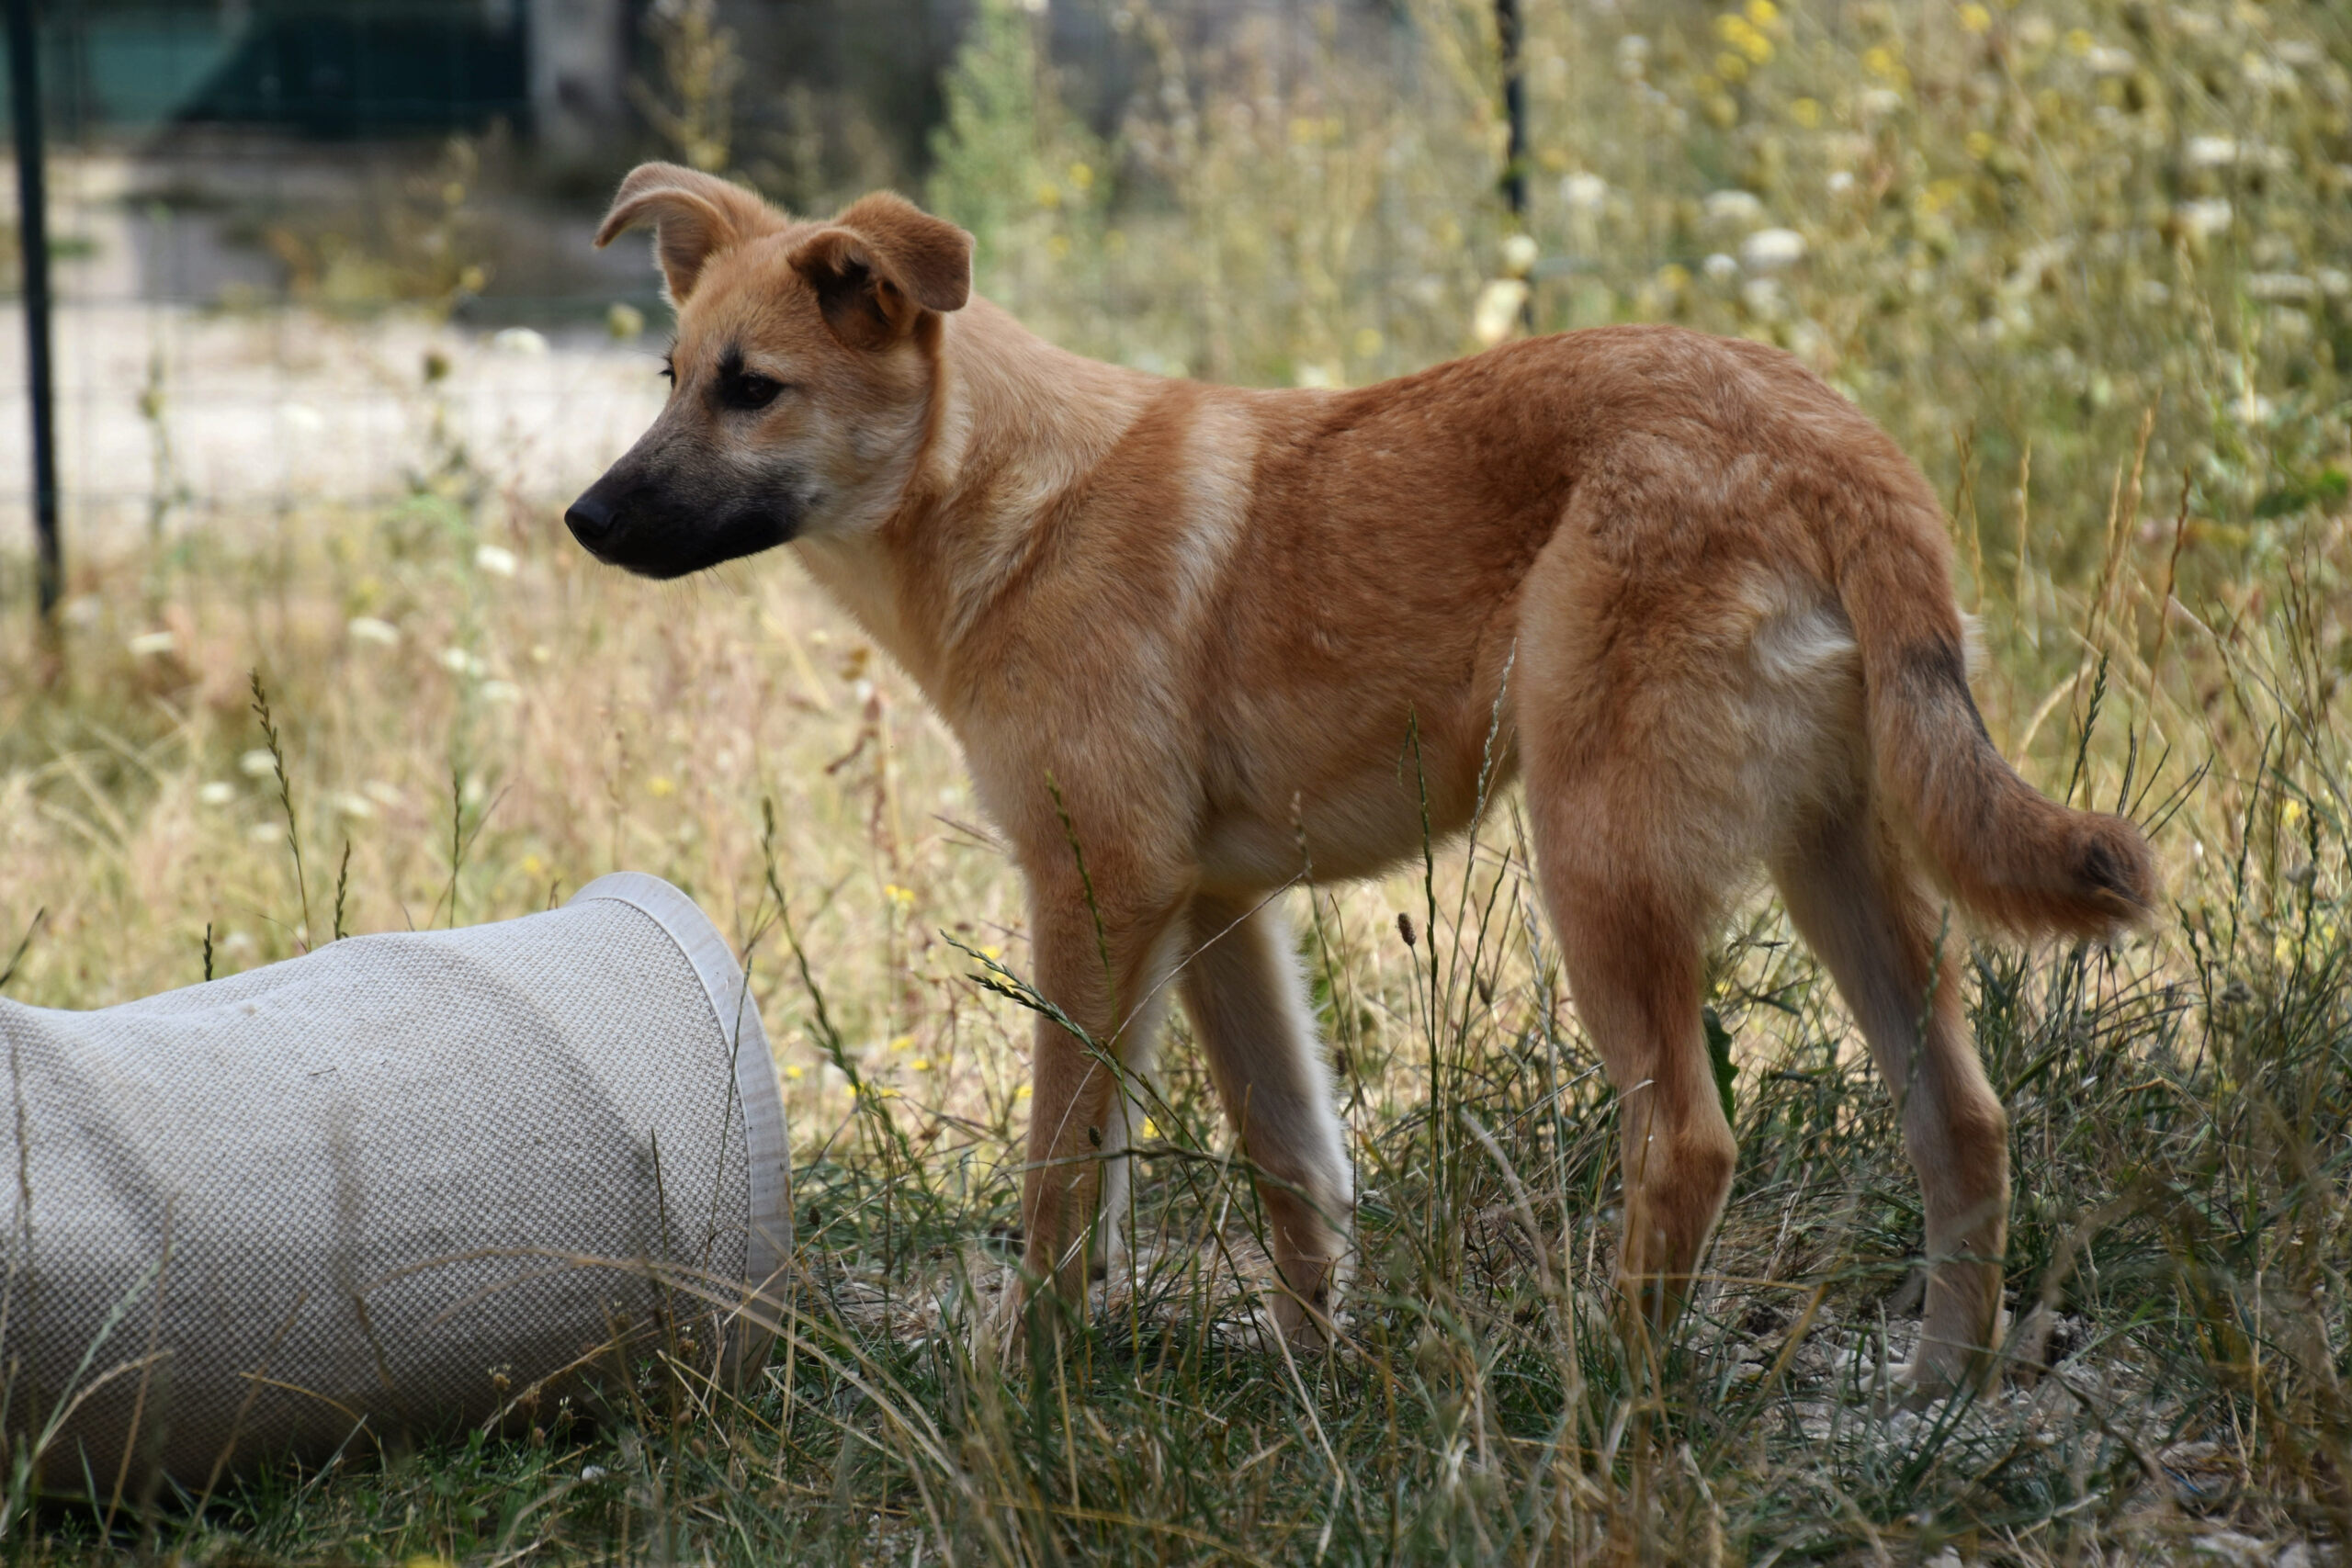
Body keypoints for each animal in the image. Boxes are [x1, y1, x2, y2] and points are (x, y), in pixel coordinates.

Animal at [564, 165, 2154, 1392]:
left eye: (754, 390)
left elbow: (1062, 1170)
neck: (1014, 495)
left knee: (1689, 1140)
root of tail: (1834, 440)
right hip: (1843, 867)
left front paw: (1024, 1376)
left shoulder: (1097, 898)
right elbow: (1293, 1161)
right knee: (1962, 1116)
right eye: (671, 380)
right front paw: (1312, 1362)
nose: (582, 520)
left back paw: (1615, 1387)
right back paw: (1942, 1378)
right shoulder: (1214, 910)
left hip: (1605, 866)